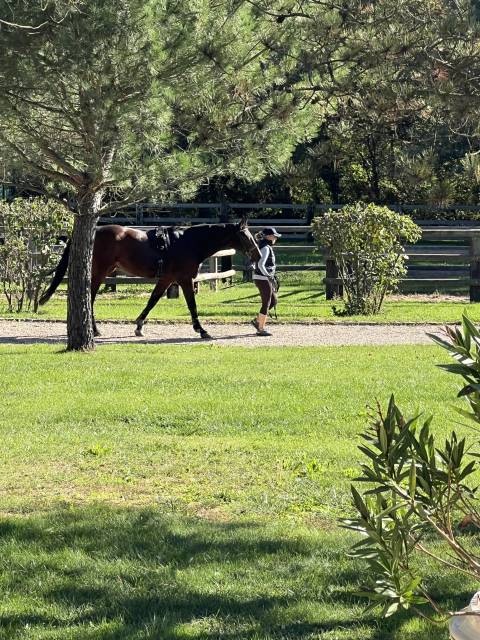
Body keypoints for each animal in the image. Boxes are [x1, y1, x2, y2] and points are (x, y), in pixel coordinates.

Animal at [39, 219, 261, 340]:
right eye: (245, 236)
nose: (258, 255)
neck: (188, 243)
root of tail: (95, 232)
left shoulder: (166, 279)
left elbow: (152, 300)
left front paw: (139, 326)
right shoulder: (184, 279)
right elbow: (192, 305)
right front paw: (202, 330)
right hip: (100, 272)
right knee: (90, 298)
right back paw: (94, 329)